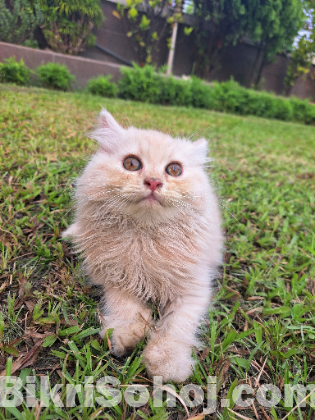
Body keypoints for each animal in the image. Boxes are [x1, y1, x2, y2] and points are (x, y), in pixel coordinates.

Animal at [63, 110, 223, 382]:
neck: (144, 238)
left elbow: (176, 326)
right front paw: (125, 335)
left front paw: (167, 363)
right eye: (131, 164)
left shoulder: (193, 290)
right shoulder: (114, 277)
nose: (154, 182)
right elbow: (125, 306)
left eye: (174, 169)